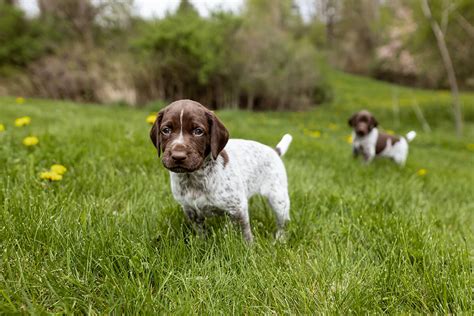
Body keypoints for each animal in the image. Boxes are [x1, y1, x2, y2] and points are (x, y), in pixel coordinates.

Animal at [151, 99, 292, 242]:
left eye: (198, 131)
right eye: (166, 130)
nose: (178, 156)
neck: (194, 176)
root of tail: (274, 151)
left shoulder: (238, 208)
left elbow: (245, 233)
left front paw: (249, 246)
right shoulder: (191, 210)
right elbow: (201, 232)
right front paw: (202, 243)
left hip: (278, 198)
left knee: (283, 222)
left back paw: (280, 239)